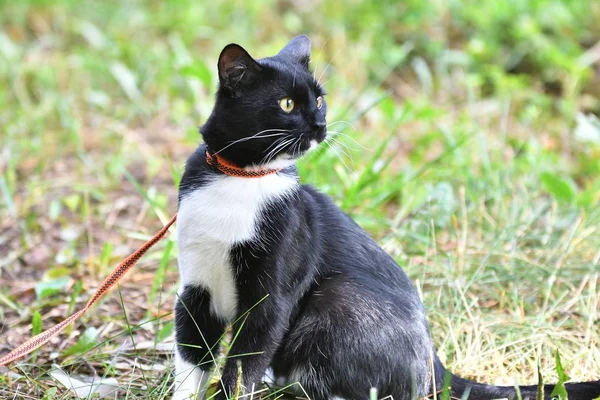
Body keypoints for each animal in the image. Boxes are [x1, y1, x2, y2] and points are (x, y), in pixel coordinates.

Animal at [172, 35, 600, 400]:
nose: (321, 125)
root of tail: (435, 364)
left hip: (341, 298)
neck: (241, 180)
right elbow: (192, 353)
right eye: (287, 104)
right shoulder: (196, 286)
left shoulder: (273, 290)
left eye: (320, 100)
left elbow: (244, 362)